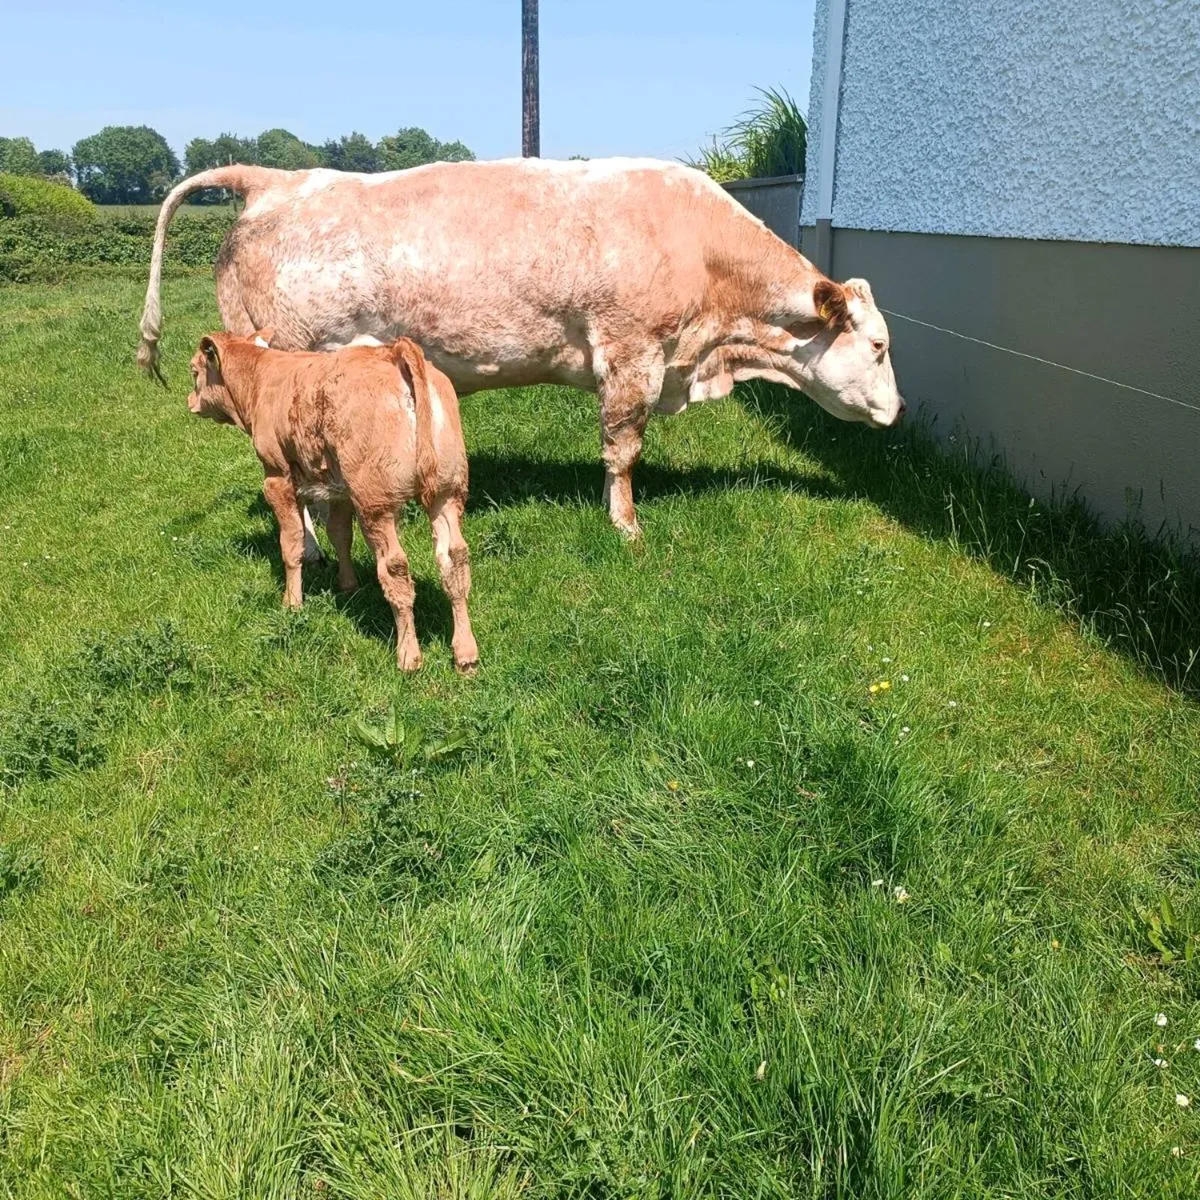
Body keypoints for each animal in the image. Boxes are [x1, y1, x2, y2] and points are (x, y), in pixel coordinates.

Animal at [140, 157, 904, 544]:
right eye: (878, 344)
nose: (897, 412)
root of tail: (279, 178)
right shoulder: (631, 352)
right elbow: (622, 452)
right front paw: (626, 525)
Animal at [185, 331, 479, 673]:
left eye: (194, 370)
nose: (189, 402)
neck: (262, 378)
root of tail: (393, 352)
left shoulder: (277, 478)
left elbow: (292, 544)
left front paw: (292, 602)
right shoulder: (339, 489)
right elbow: (339, 534)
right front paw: (347, 584)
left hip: (377, 505)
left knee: (395, 569)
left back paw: (408, 655)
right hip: (447, 492)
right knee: (454, 561)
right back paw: (465, 654)